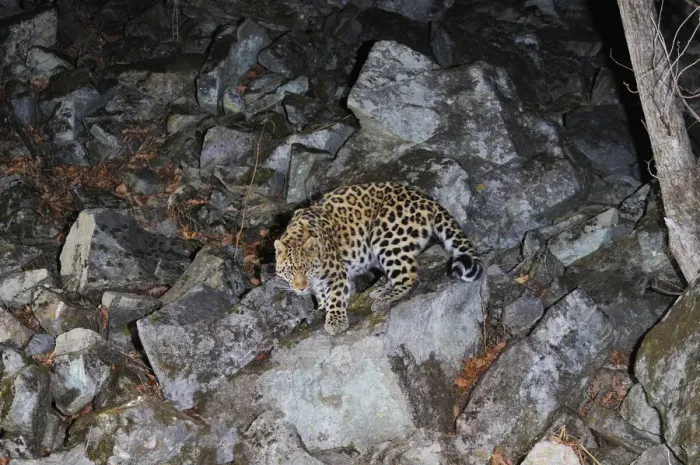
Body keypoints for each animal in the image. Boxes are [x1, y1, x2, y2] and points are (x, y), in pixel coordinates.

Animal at [274, 181, 483, 335]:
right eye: (290, 271)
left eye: (307, 269)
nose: (301, 288)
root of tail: (426, 198)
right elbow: (320, 292)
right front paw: (321, 308)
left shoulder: (336, 273)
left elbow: (336, 296)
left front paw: (335, 321)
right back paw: (380, 289)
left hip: (387, 238)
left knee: (410, 278)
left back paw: (383, 300)